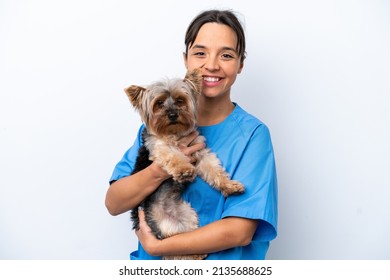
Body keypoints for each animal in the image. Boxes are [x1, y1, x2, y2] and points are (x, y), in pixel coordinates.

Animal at [123, 68, 244, 260]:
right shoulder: (159, 148)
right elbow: (174, 156)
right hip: (162, 227)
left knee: (182, 242)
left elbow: (213, 169)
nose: (173, 114)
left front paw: (230, 185)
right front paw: (185, 169)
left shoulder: (200, 151)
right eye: (159, 103)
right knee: (171, 250)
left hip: (188, 217)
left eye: (180, 100)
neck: (174, 133)